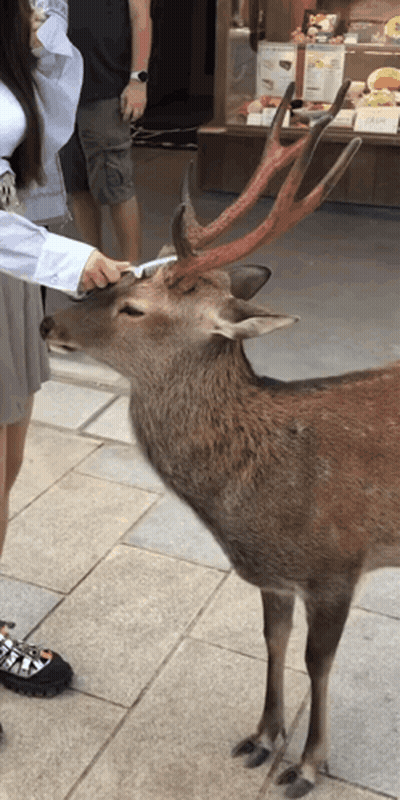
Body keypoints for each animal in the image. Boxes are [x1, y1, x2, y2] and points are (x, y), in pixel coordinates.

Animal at [40, 81, 399, 797]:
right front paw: (263, 737)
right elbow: (272, 641)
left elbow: (319, 663)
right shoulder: (274, 576)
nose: (47, 322)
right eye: (121, 280)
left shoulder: (338, 565)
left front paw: (308, 765)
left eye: (134, 308)